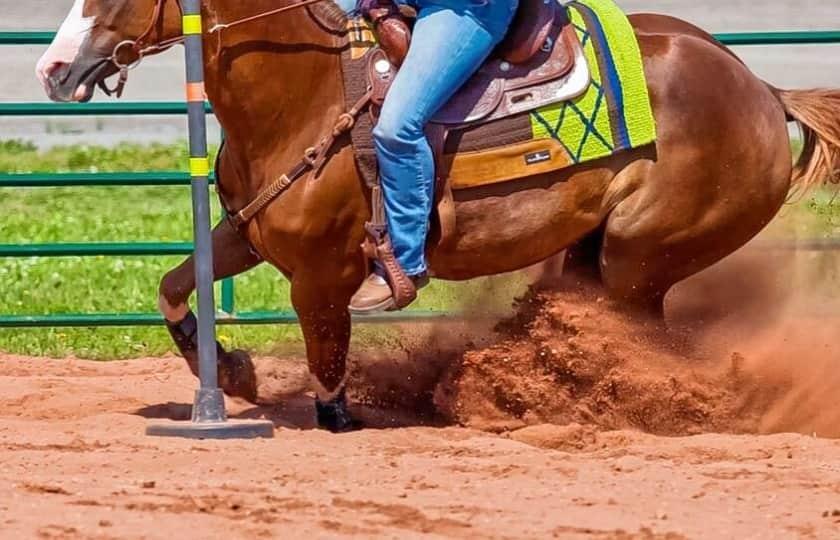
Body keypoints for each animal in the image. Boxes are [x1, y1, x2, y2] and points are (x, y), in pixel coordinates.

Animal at [36, 0, 840, 430]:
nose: (53, 69)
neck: (302, 92)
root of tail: (765, 92)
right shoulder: (248, 236)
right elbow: (174, 287)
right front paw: (232, 373)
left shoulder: (322, 274)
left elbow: (330, 376)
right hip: (602, 255)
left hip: (641, 258)